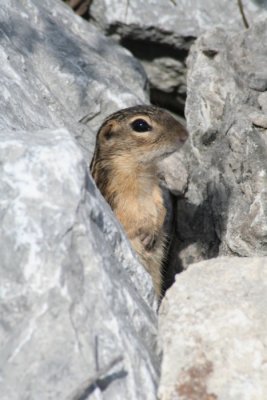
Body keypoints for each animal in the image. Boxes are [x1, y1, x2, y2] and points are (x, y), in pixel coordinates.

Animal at [90, 104, 188, 298]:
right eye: (140, 125)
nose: (185, 134)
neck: (142, 172)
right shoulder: (118, 199)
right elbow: (130, 220)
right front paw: (147, 233)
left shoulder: (156, 192)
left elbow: (161, 209)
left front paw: (154, 230)